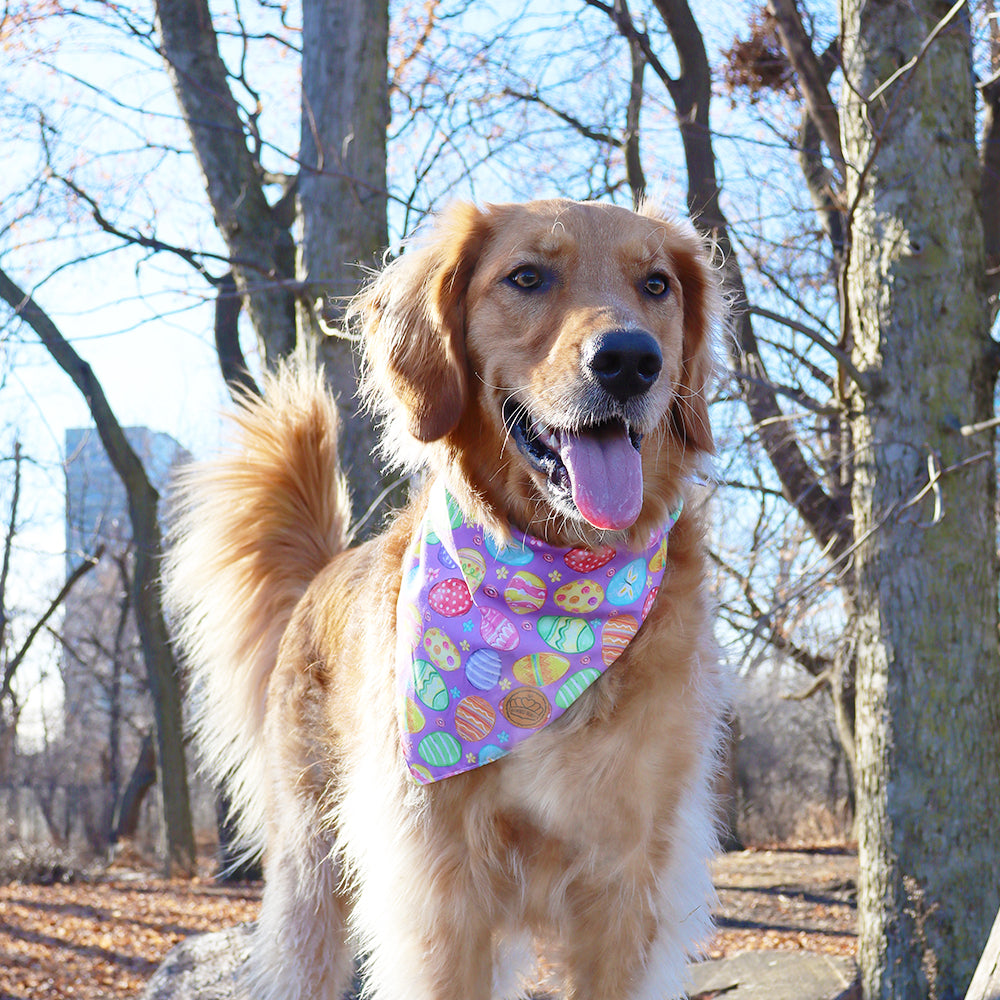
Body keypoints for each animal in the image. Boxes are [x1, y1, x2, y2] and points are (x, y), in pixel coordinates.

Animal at [164, 197, 728, 1000]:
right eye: (527, 276)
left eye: (657, 285)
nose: (629, 361)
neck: (554, 583)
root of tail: (325, 571)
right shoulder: (439, 889)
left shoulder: (630, 885)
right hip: (311, 876)